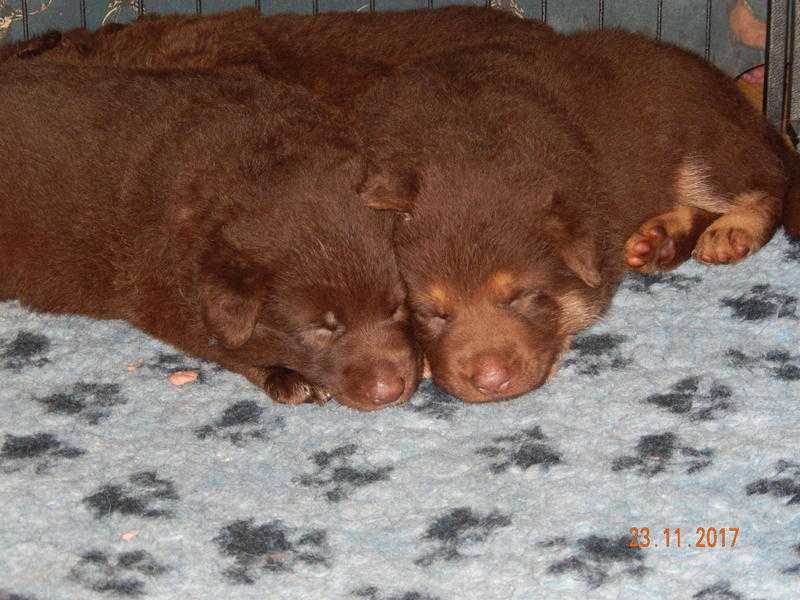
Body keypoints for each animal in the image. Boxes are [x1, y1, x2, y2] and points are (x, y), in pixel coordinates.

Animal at [0, 64, 422, 412]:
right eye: (322, 328)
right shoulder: (162, 293)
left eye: (397, 307)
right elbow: (223, 343)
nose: (391, 391)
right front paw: (288, 376)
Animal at [358, 34, 800, 404]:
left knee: (769, 184)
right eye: (434, 314)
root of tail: (747, 104)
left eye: (520, 296)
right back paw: (660, 238)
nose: (491, 381)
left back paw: (732, 230)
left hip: (703, 150)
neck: (471, 151)